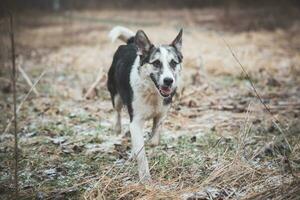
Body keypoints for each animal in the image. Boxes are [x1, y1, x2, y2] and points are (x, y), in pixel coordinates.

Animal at [108, 25, 183, 182]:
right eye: (156, 63)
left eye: (173, 63)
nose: (168, 81)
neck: (153, 92)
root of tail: (131, 43)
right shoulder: (135, 122)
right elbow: (141, 153)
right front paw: (145, 178)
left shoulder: (161, 115)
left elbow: (154, 139)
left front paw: (149, 141)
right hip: (115, 95)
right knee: (117, 111)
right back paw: (117, 127)